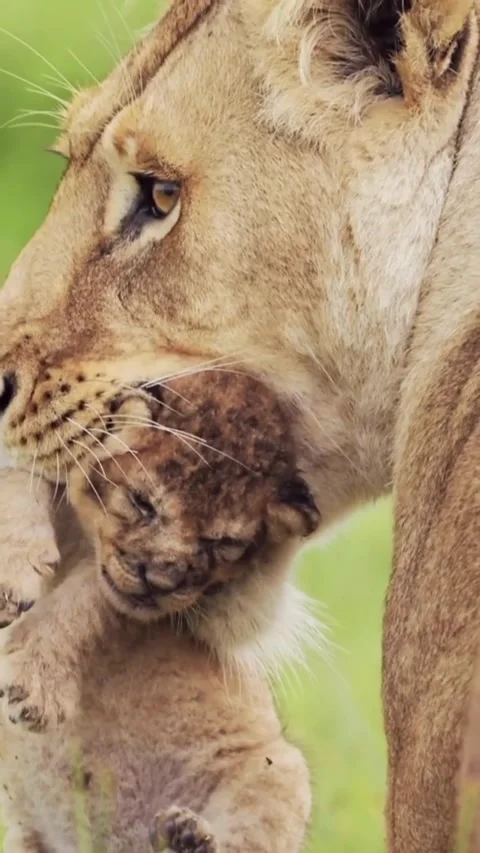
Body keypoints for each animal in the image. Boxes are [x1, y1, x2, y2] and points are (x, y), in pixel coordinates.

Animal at [0, 369, 317, 853]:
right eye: (141, 502)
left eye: (223, 543)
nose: (161, 581)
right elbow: (20, 481)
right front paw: (11, 577)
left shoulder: (135, 596)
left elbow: (81, 603)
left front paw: (34, 683)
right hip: (27, 834)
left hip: (282, 771)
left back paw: (189, 836)